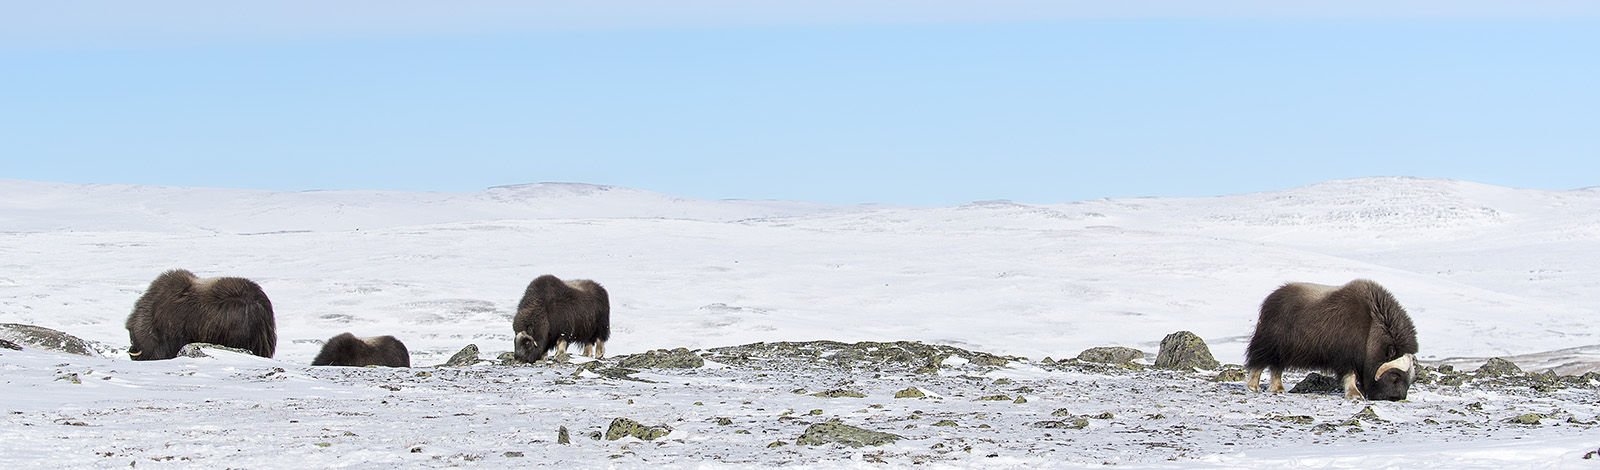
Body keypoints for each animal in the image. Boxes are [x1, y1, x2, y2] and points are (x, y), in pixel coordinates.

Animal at [1241, 279, 1420, 399]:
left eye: (1411, 379)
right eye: (1395, 375)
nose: (1396, 398)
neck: (1372, 330)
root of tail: (1270, 300)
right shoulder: (1346, 357)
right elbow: (1350, 375)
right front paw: (1355, 395)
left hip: (1283, 351)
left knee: (1276, 368)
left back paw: (1278, 389)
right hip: (1269, 344)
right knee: (1259, 363)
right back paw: (1253, 387)